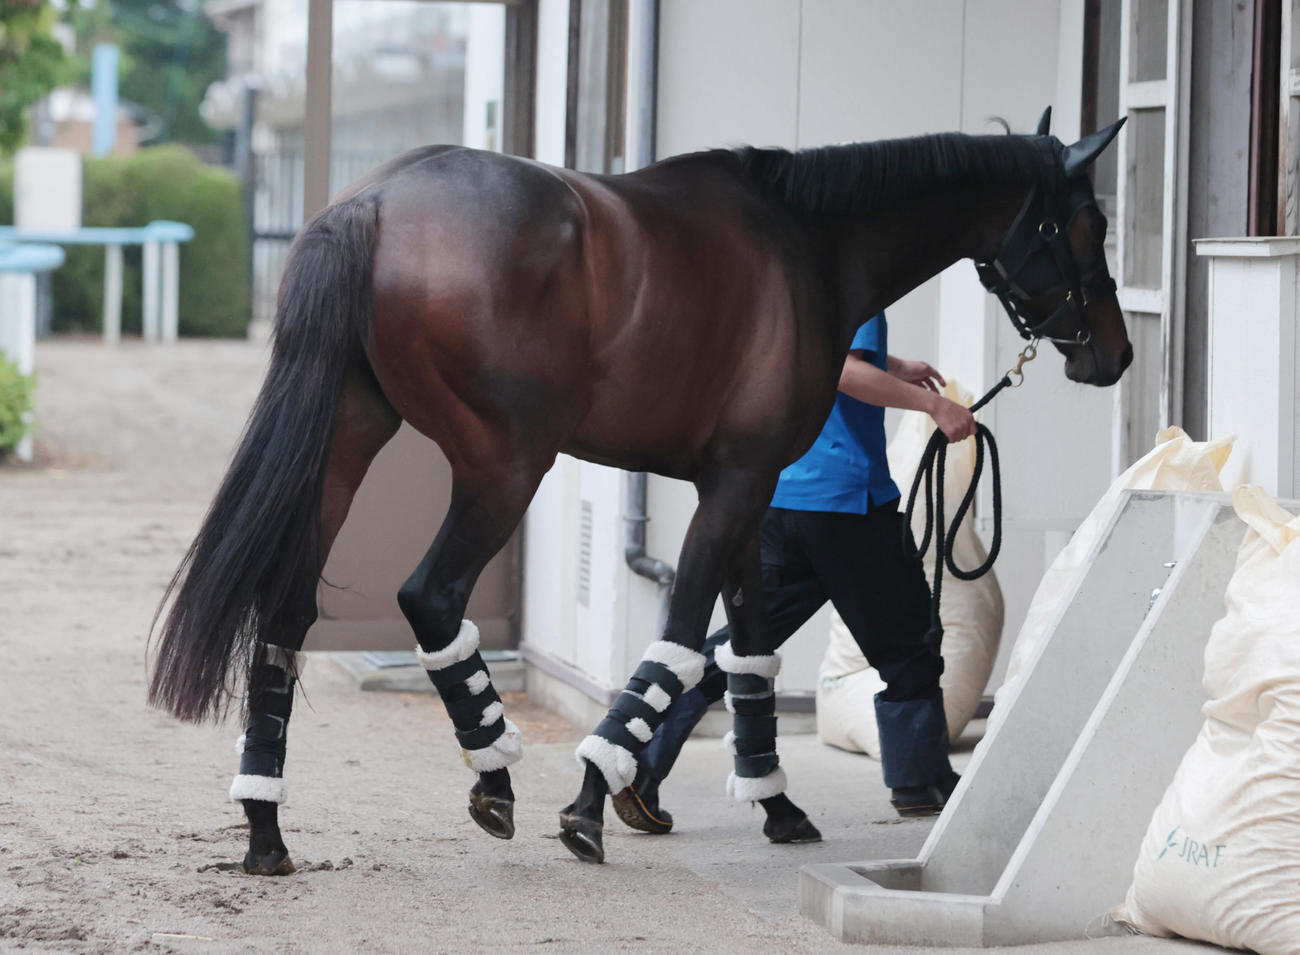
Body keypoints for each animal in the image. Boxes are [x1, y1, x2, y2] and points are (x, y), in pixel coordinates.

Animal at [148, 107, 1130, 874]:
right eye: (1089, 225)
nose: (1115, 353)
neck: (806, 241)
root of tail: (375, 202)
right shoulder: (737, 483)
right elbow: (686, 641)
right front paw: (590, 798)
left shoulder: (744, 490)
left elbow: (749, 652)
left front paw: (773, 802)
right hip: (505, 468)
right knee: (429, 597)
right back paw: (494, 772)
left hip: (347, 444)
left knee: (284, 612)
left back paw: (265, 823)